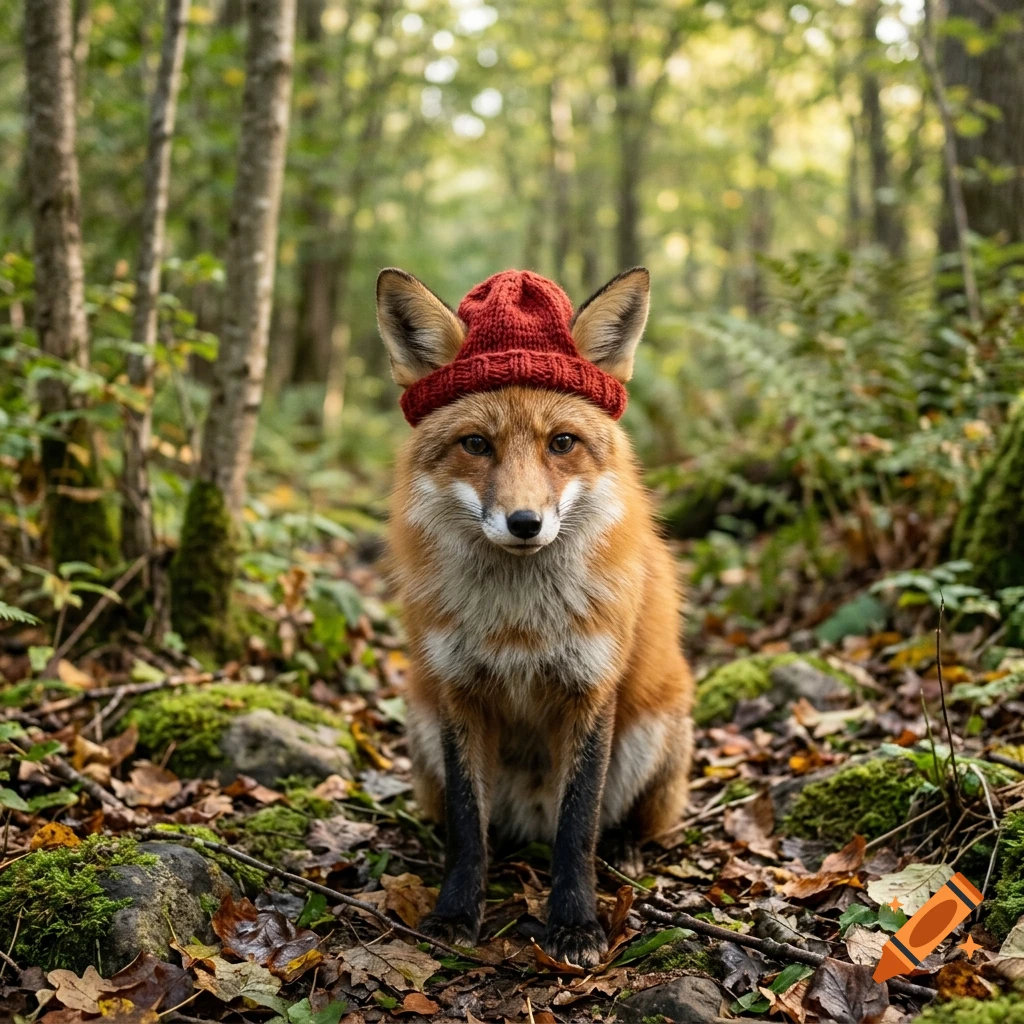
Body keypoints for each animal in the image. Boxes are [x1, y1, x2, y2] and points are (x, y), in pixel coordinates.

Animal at [376, 266, 694, 967]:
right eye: (476, 445)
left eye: (562, 443)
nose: (525, 523)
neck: (519, 623)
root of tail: (527, 818)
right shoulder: (458, 692)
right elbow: (467, 829)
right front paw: (455, 913)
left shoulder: (589, 690)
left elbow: (577, 829)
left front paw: (574, 924)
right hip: (421, 721)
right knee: (471, 823)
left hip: (656, 728)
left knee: (619, 823)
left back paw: (624, 851)